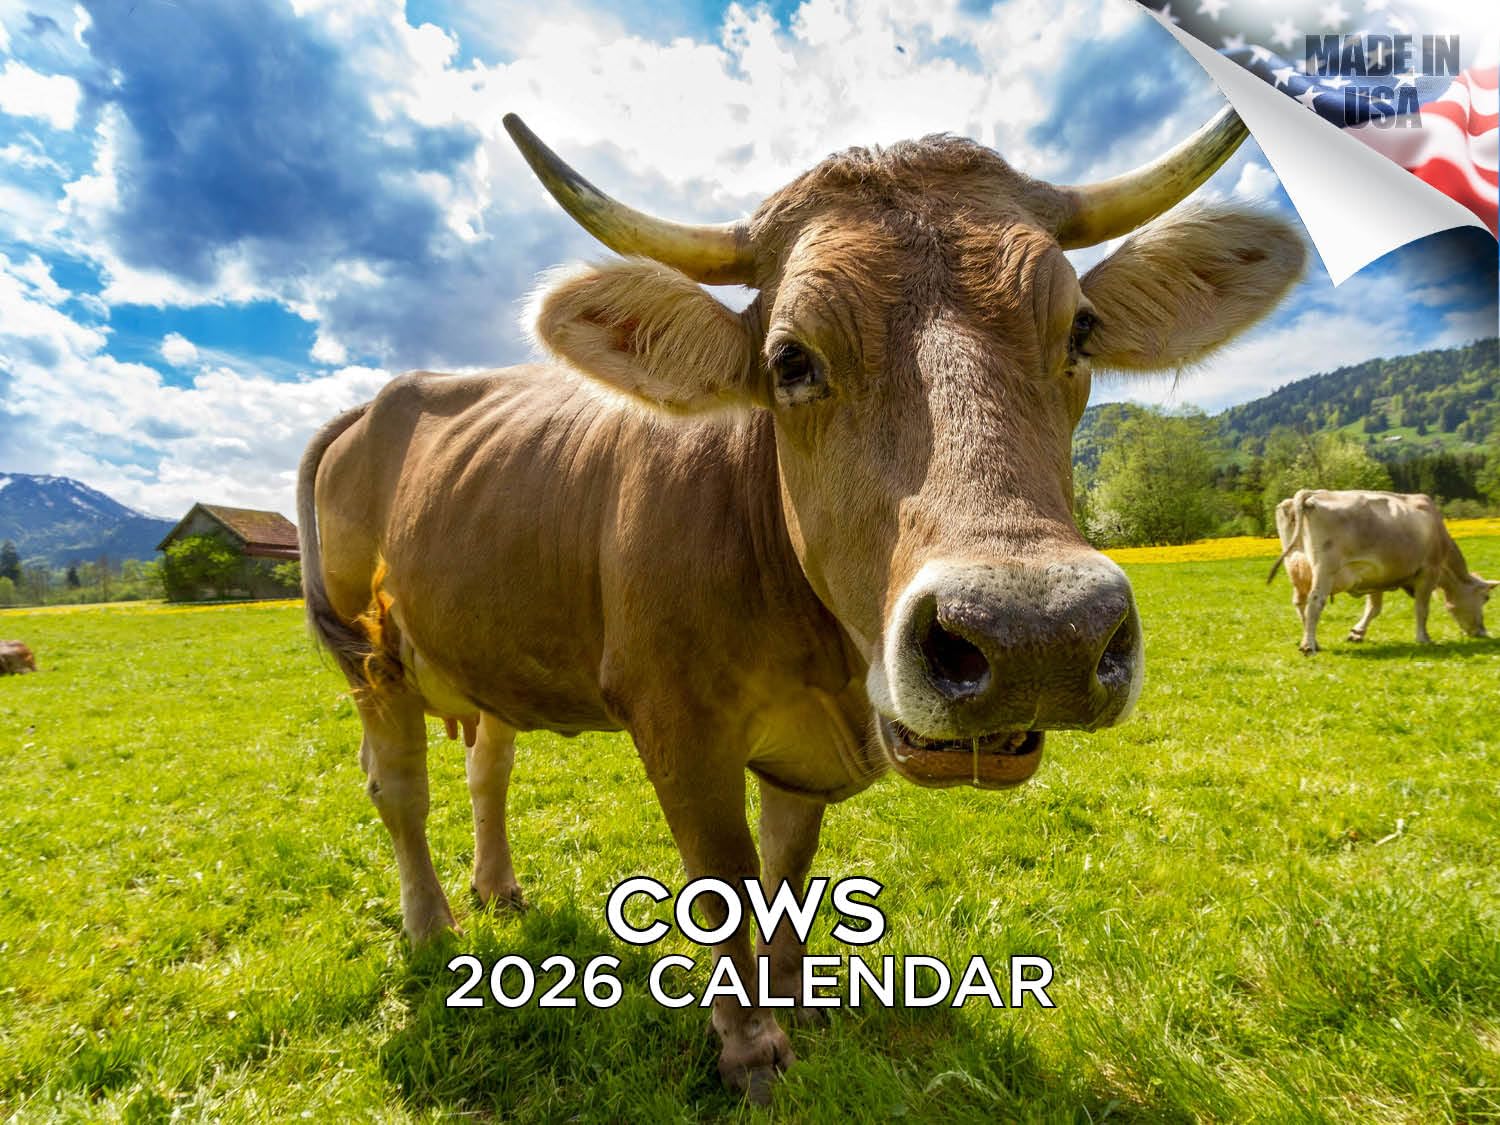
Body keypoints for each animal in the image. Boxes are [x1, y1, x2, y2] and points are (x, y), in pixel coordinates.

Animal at [299, 108, 1304, 1098]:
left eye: (1081, 332)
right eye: (790, 359)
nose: (1035, 636)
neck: (824, 659)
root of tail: (379, 401)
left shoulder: (801, 751)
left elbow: (787, 864)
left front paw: (796, 998)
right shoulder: (675, 720)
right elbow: (723, 876)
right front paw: (748, 1045)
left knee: (488, 765)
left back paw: (497, 887)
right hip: (372, 657)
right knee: (400, 787)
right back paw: (431, 926)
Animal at [1269, 489, 1496, 653]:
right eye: (1485, 598)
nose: (1482, 632)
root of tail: (1312, 494)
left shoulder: (1374, 575)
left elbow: (1374, 608)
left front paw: (1357, 633)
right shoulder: (1428, 572)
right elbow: (1422, 609)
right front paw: (1424, 638)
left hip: (1297, 567)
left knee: (1300, 603)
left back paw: (1310, 639)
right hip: (1324, 569)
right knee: (1315, 602)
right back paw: (1309, 645)